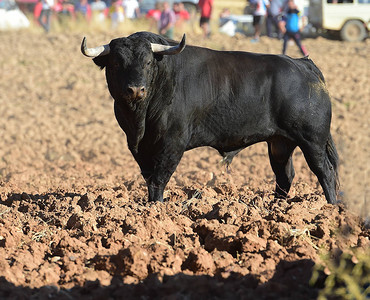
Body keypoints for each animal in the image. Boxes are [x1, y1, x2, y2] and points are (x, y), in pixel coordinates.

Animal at [81, 31, 338, 204]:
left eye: (147, 61)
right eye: (116, 62)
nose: (135, 89)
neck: (140, 119)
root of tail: (304, 65)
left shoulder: (172, 143)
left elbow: (159, 178)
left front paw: (156, 208)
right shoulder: (139, 147)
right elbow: (148, 177)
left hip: (312, 141)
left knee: (325, 171)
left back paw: (331, 207)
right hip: (280, 143)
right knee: (284, 176)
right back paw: (277, 207)